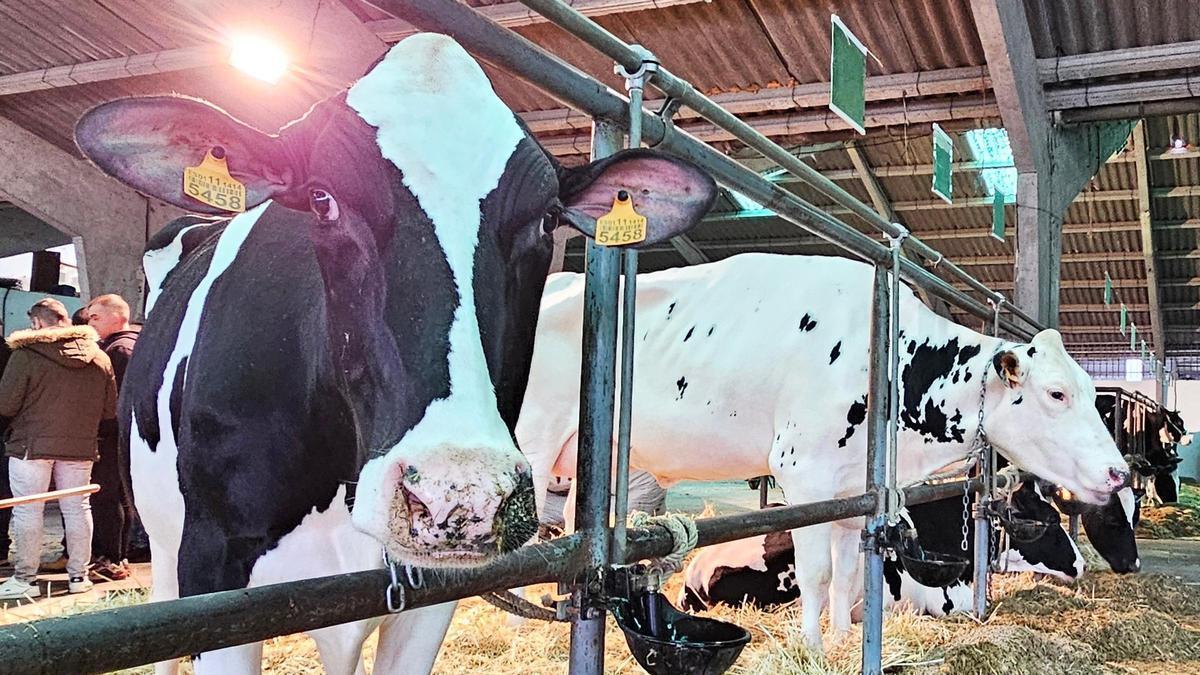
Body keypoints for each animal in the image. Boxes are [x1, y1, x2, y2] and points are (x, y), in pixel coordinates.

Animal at [73, 34, 716, 675]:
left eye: (546, 219)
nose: (462, 496)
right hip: (165, 555)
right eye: (321, 198)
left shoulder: (430, 596)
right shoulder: (214, 575)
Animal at [517, 253, 1129, 650]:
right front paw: (811, 647)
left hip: (582, 462)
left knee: (565, 529)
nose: (1119, 473)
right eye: (1057, 393)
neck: (888, 353)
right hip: (531, 446)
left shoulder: (852, 490)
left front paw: (839, 637)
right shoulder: (805, 474)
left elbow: (847, 571)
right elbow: (815, 573)